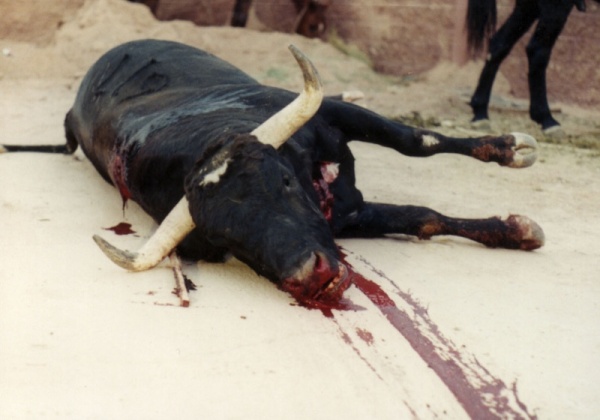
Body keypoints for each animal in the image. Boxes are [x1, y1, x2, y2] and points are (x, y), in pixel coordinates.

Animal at [1, 39, 544, 306]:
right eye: (227, 242)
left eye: (283, 183)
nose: (312, 278)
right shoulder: (349, 215)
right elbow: (422, 216)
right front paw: (514, 229)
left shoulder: (337, 115)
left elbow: (418, 142)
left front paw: (512, 150)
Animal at [468, 0, 596, 135]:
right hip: (555, 7)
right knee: (537, 51)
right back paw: (547, 119)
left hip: (528, 7)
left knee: (499, 43)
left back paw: (480, 113)